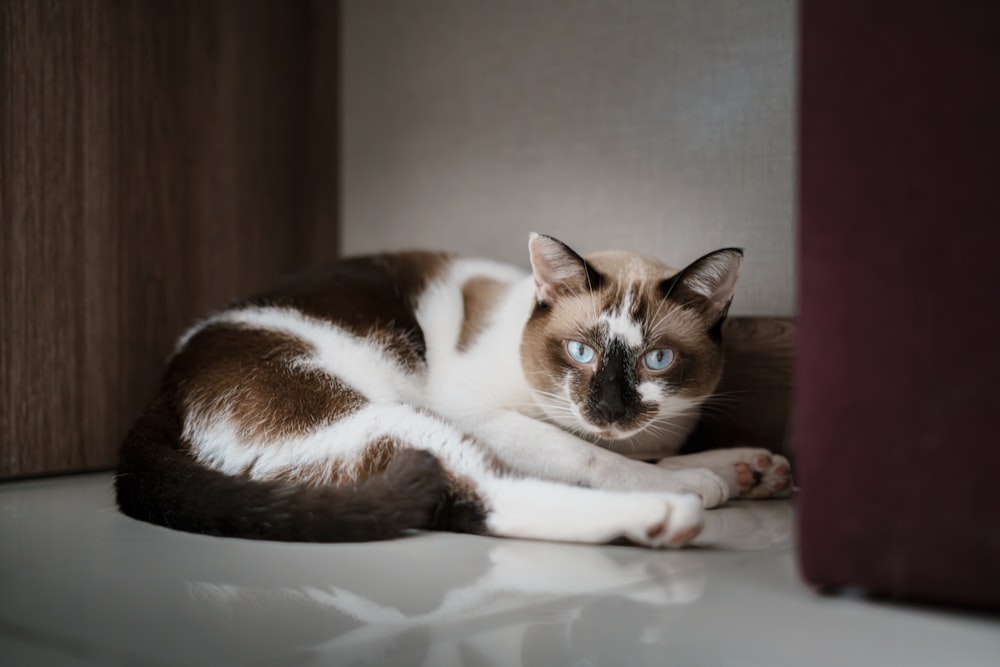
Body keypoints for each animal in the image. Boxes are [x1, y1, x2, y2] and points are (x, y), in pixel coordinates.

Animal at [115, 235, 788, 548]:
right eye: (581, 353)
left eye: (657, 360)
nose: (609, 407)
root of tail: (161, 389)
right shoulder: (485, 416)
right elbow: (592, 456)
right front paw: (700, 481)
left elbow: (640, 452)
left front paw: (748, 468)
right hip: (399, 419)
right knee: (481, 494)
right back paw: (666, 514)